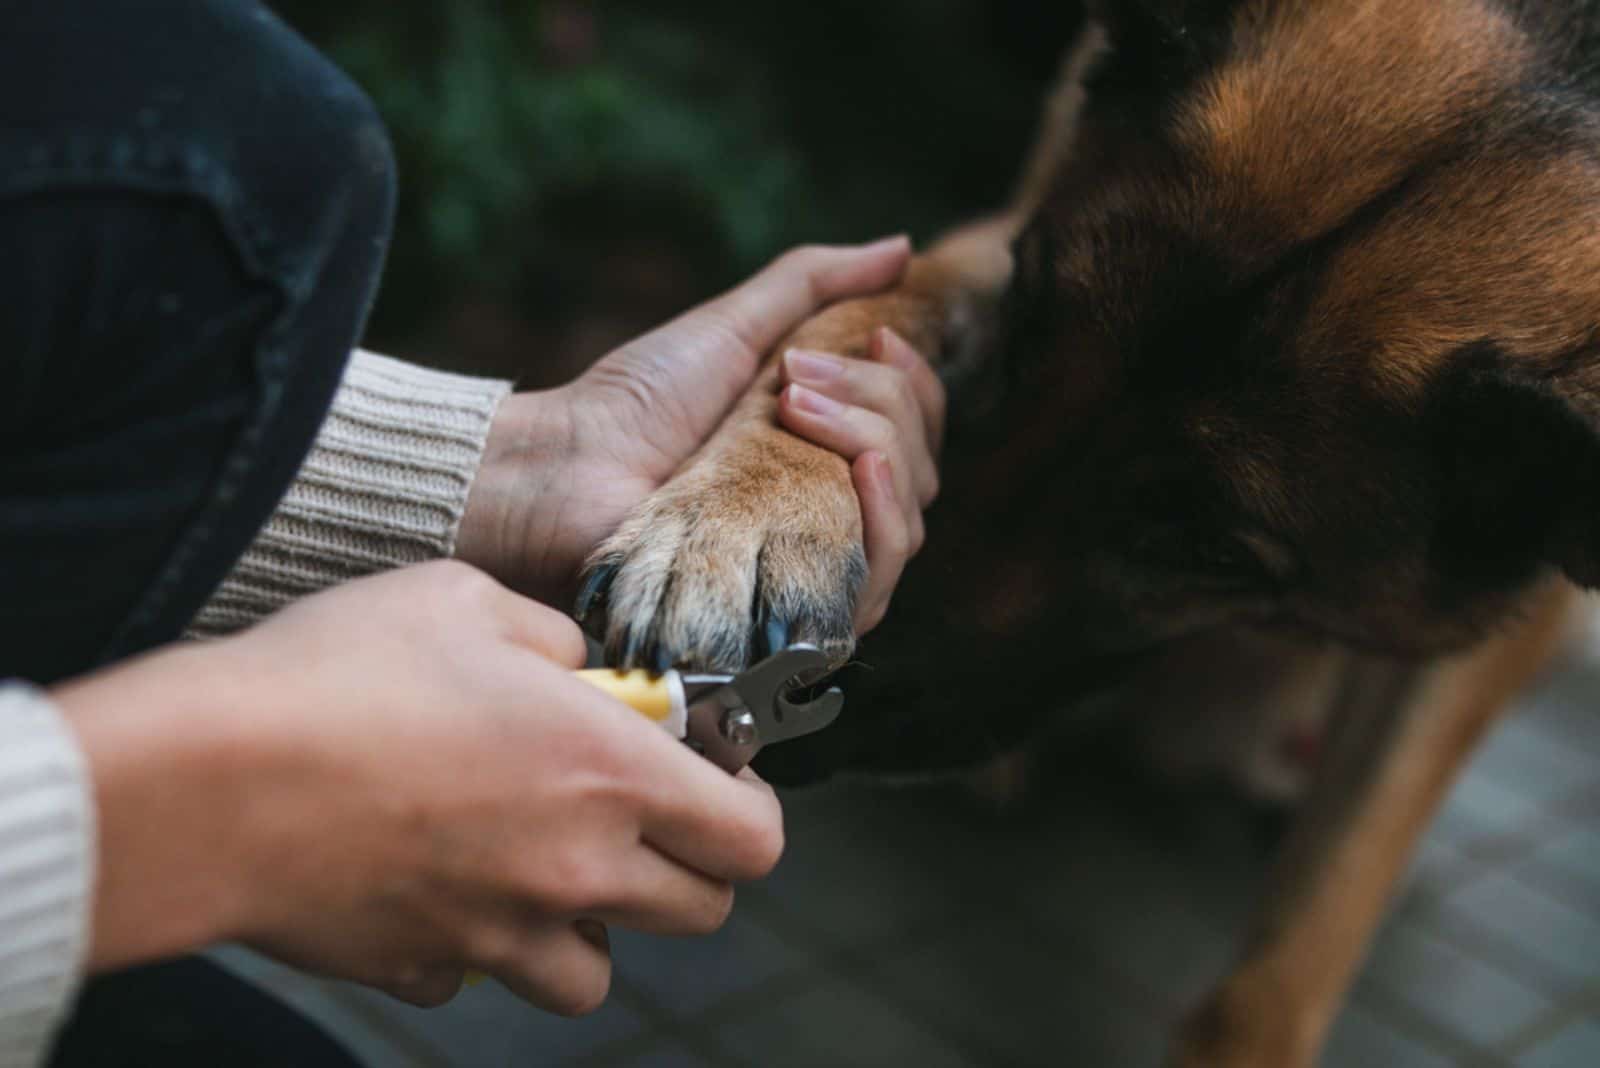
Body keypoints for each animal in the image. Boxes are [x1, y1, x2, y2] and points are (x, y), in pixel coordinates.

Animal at [579, 4, 1600, 1061]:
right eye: (1029, 323)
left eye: (1207, 550)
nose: (808, 726)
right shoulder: (1002, 228)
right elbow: (848, 318)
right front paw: (743, 512)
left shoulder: (1504, 627)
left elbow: (1297, 952)